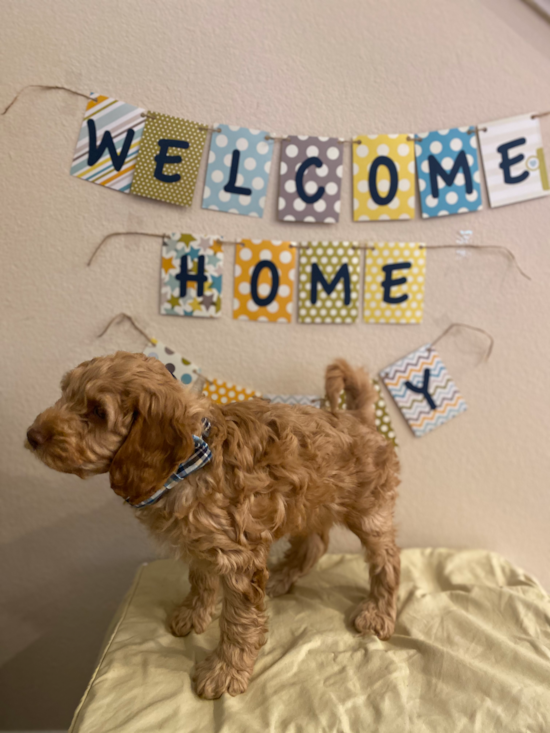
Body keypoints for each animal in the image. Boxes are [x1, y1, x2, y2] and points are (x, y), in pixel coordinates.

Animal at [25, 354, 404, 696]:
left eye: (98, 413)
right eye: (65, 393)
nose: (32, 436)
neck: (188, 462)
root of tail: (357, 417)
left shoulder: (239, 557)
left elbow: (238, 621)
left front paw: (225, 671)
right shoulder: (201, 543)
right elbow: (201, 580)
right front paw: (193, 615)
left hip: (369, 511)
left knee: (387, 560)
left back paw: (378, 614)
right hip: (310, 501)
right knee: (315, 542)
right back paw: (282, 577)